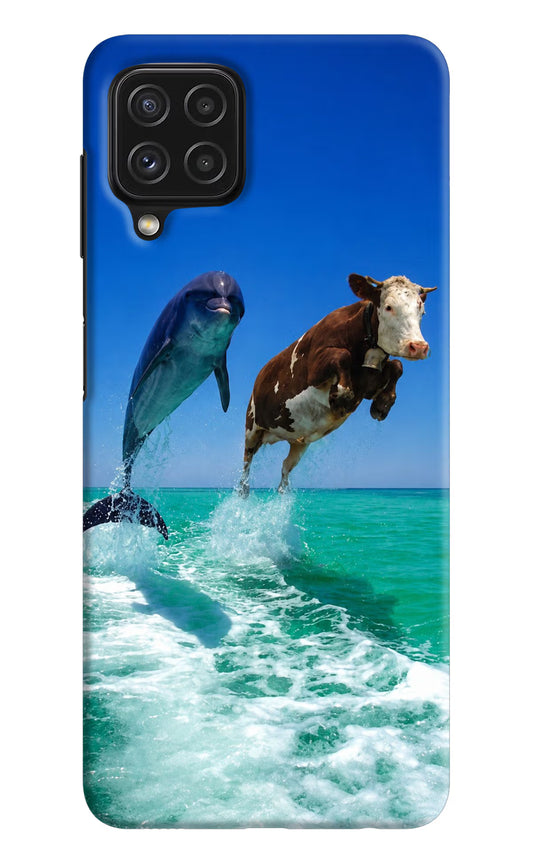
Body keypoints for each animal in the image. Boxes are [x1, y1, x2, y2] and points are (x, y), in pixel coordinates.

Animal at [239, 273, 437, 495]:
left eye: (422, 310)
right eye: (388, 307)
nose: (418, 347)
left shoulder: (368, 383)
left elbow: (397, 365)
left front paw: (382, 404)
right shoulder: (314, 368)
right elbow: (342, 355)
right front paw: (341, 396)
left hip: (299, 441)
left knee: (285, 467)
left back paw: (283, 492)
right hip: (252, 427)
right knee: (246, 463)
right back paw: (243, 490)